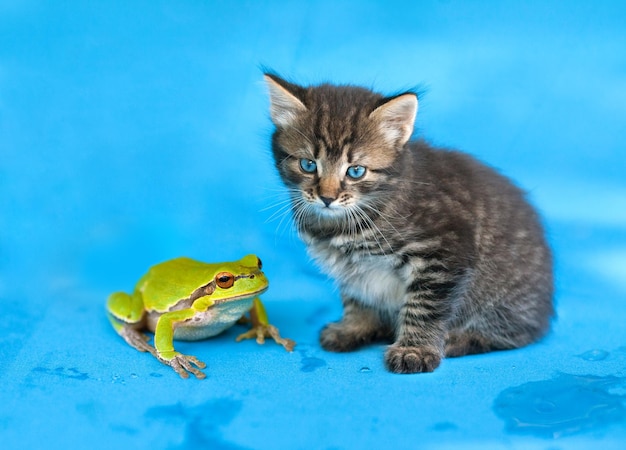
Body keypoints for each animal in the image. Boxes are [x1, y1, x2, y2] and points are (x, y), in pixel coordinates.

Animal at [262, 73, 552, 372]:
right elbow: (357, 298)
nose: (327, 198)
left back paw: (457, 339)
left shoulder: (444, 252)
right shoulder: (352, 268)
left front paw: (415, 350)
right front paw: (353, 328)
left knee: (513, 334)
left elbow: (424, 307)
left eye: (355, 171)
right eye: (308, 165)